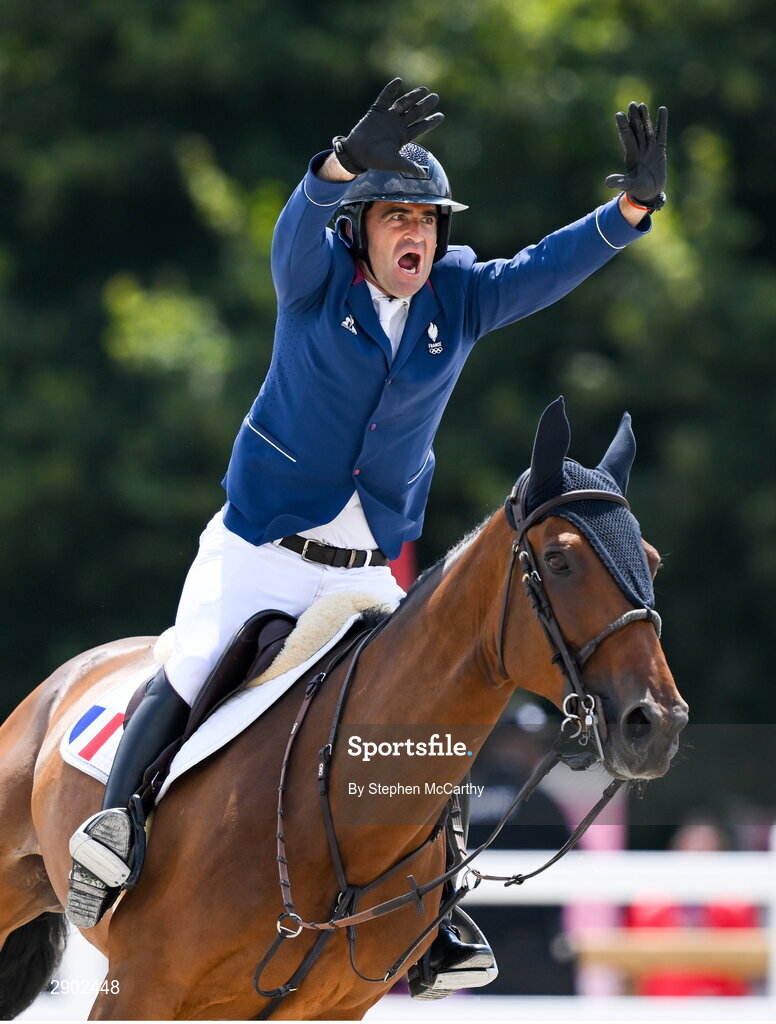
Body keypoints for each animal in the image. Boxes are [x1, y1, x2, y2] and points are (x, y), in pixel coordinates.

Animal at [0, 398, 688, 1020]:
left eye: (653, 561)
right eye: (560, 559)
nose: (656, 725)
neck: (341, 814)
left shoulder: (330, 1007)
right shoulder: (141, 988)